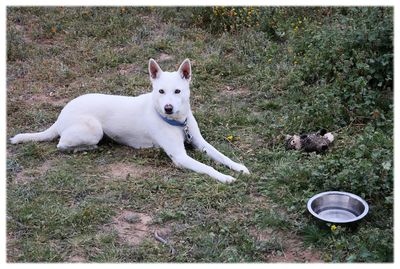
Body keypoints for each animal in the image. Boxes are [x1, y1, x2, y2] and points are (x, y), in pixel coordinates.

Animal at [10, 57, 250, 181]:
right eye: (161, 91)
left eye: (177, 91)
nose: (168, 108)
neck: (177, 122)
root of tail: (60, 115)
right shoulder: (180, 157)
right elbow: (208, 168)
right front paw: (225, 178)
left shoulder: (200, 143)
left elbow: (221, 155)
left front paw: (238, 167)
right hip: (94, 129)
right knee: (61, 145)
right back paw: (85, 148)